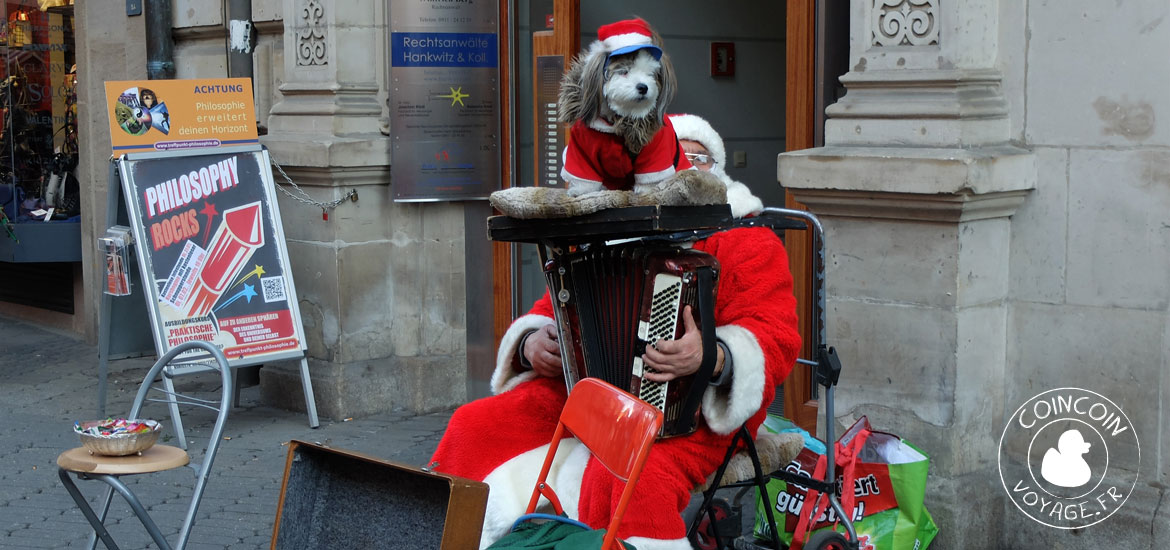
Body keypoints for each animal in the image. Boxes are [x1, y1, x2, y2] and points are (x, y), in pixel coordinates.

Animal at [554, 17, 687, 197]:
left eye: (651, 74)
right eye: (624, 71)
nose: (643, 87)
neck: (614, 123)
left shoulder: (656, 150)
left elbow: (650, 178)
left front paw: (646, 193)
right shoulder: (581, 150)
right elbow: (584, 178)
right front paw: (581, 193)